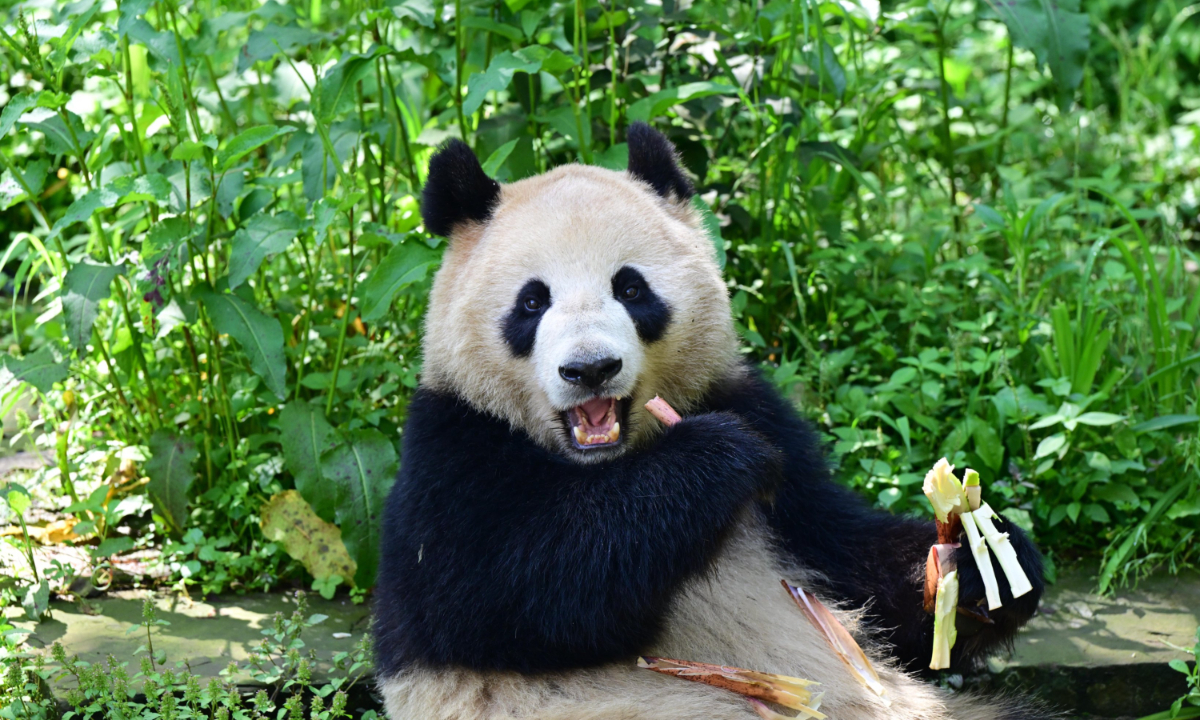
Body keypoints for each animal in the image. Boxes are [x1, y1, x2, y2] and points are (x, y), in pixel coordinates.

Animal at [371, 123, 1049, 720]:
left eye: (631, 289)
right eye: (532, 301)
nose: (591, 369)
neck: (607, 463)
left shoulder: (753, 412)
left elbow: (851, 563)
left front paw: (982, 565)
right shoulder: (452, 448)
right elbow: (503, 594)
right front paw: (720, 458)